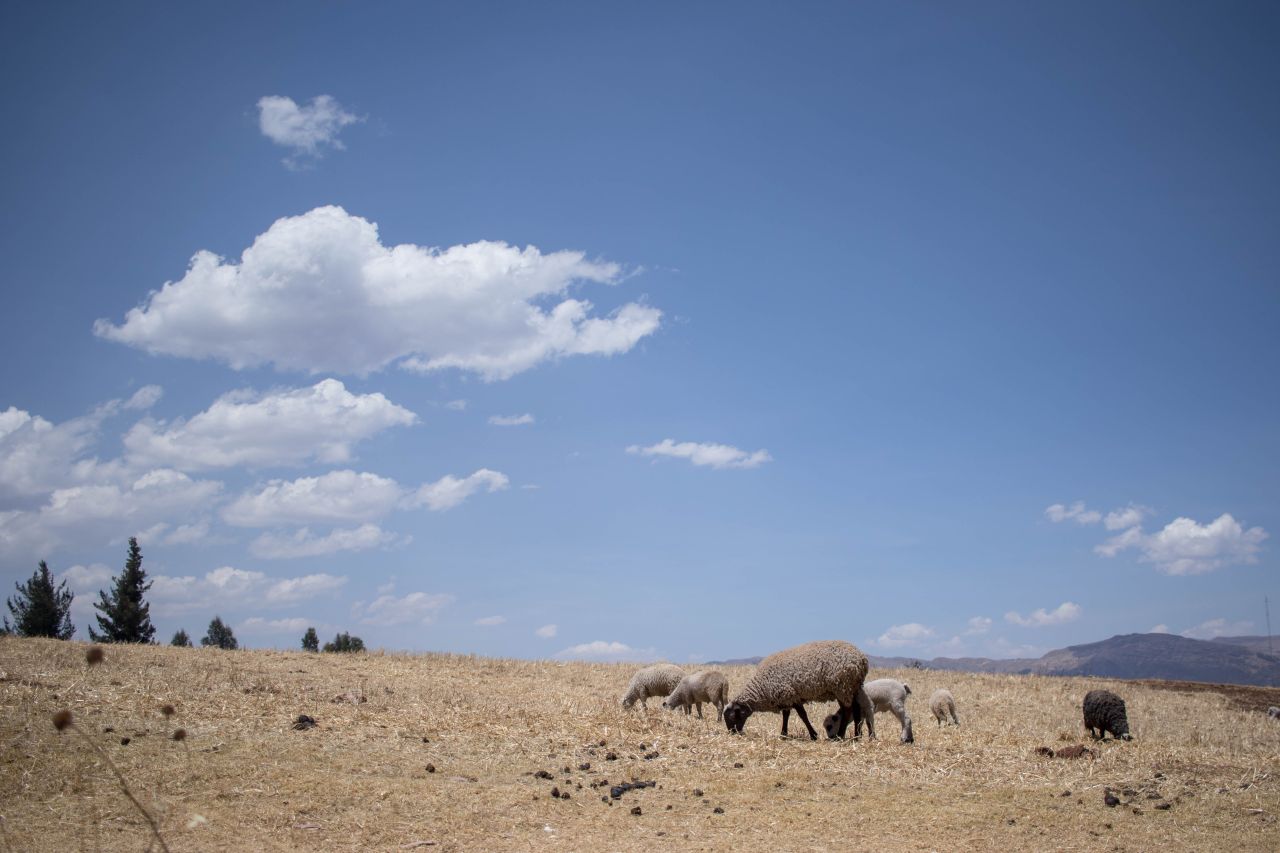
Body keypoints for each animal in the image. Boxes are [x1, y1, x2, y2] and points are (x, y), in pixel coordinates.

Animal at [722, 640, 869, 740]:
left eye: (732, 717)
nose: (732, 733)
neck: (761, 688)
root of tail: (862, 659)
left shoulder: (791, 695)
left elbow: (802, 716)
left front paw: (813, 735)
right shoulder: (786, 698)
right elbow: (786, 715)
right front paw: (783, 734)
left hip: (842, 687)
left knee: (847, 710)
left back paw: (840, 735)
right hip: (853, 687)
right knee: (856, 709)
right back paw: (857, 735)